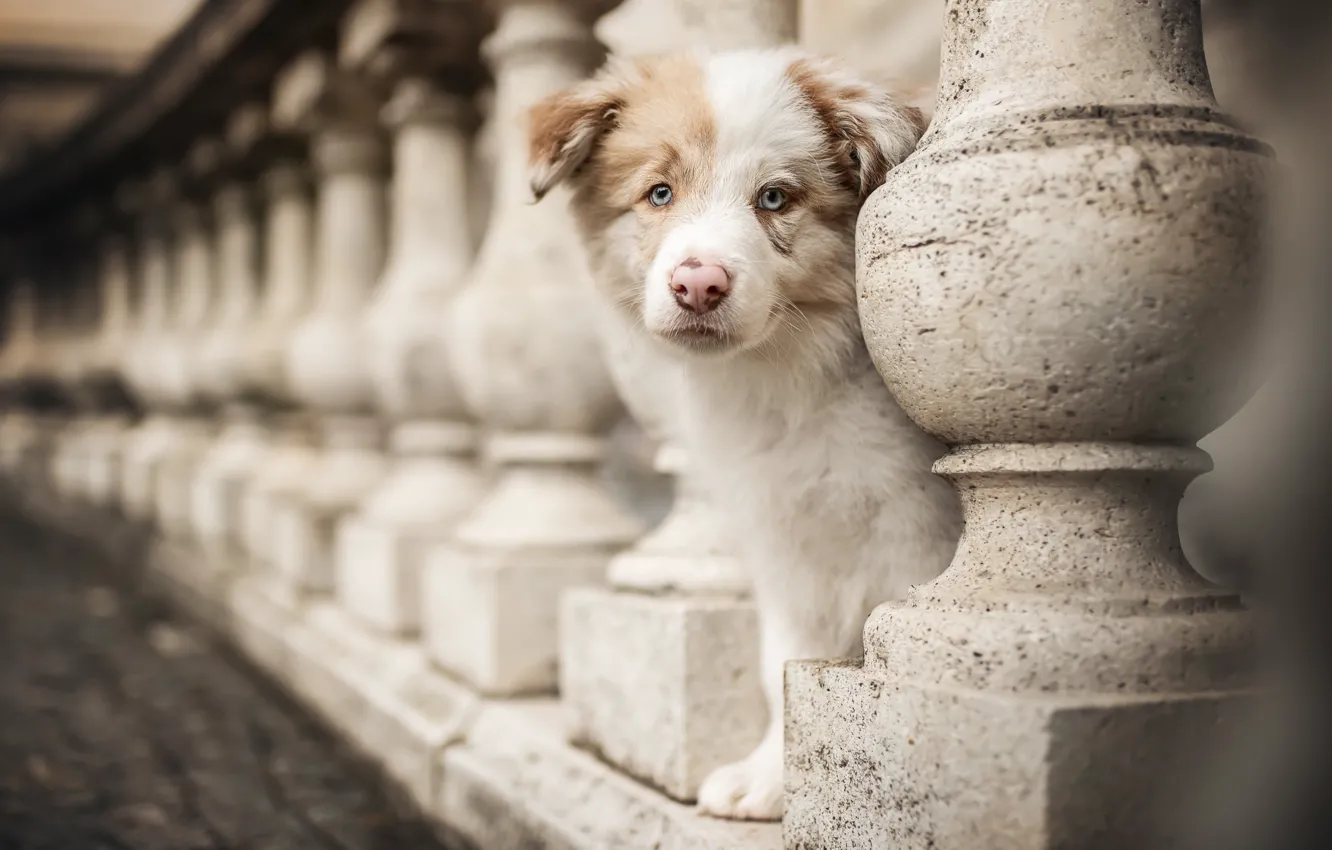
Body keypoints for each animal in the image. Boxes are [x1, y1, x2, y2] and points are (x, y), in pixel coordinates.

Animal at [524, 49, 964, 820]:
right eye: (660, 193)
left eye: (775, 199)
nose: (698, 285)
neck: (793, 377)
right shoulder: (781, 534)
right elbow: (783, 660)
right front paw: (769, 777)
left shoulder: (917, 536)